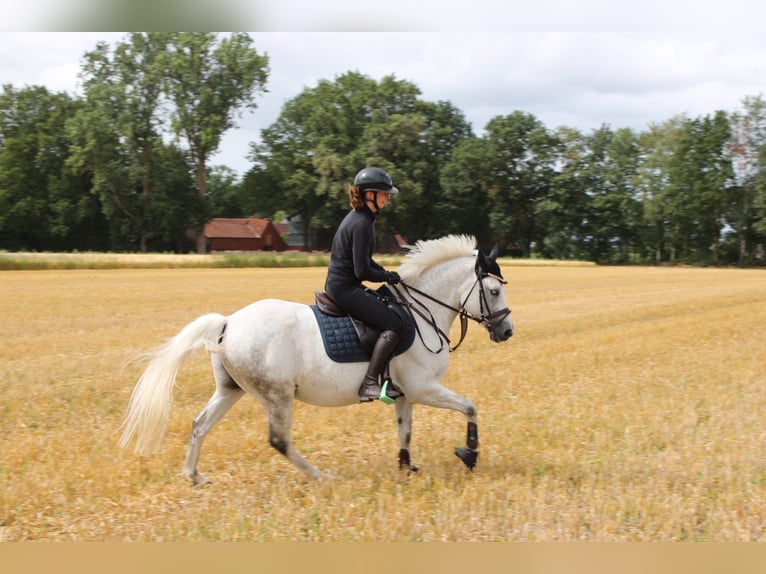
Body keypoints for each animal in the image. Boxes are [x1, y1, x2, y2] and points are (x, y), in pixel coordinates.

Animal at [118, 234, 514, 484]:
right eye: (494, 291)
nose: (506, 331)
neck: (421, 313)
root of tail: (228, 323)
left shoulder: (404, 394)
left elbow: (405, 432)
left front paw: (405, 471)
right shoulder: (423, 388)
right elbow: (470, 407)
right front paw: (469, 453)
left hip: (231, 390)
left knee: (200, 424)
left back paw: (194, 476)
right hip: (277, 396)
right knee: (279, 441)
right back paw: (320, 476)